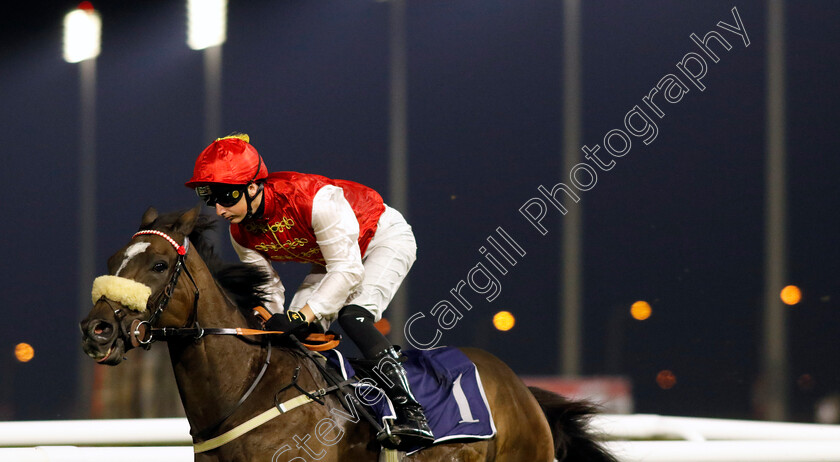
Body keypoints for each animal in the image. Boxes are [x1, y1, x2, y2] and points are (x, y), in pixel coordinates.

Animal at [80, 207, 616, 462]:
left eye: (159, 264)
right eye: (112, 261)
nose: (96, 329)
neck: (249, 393)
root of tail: (522, 390)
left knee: (358, 310)